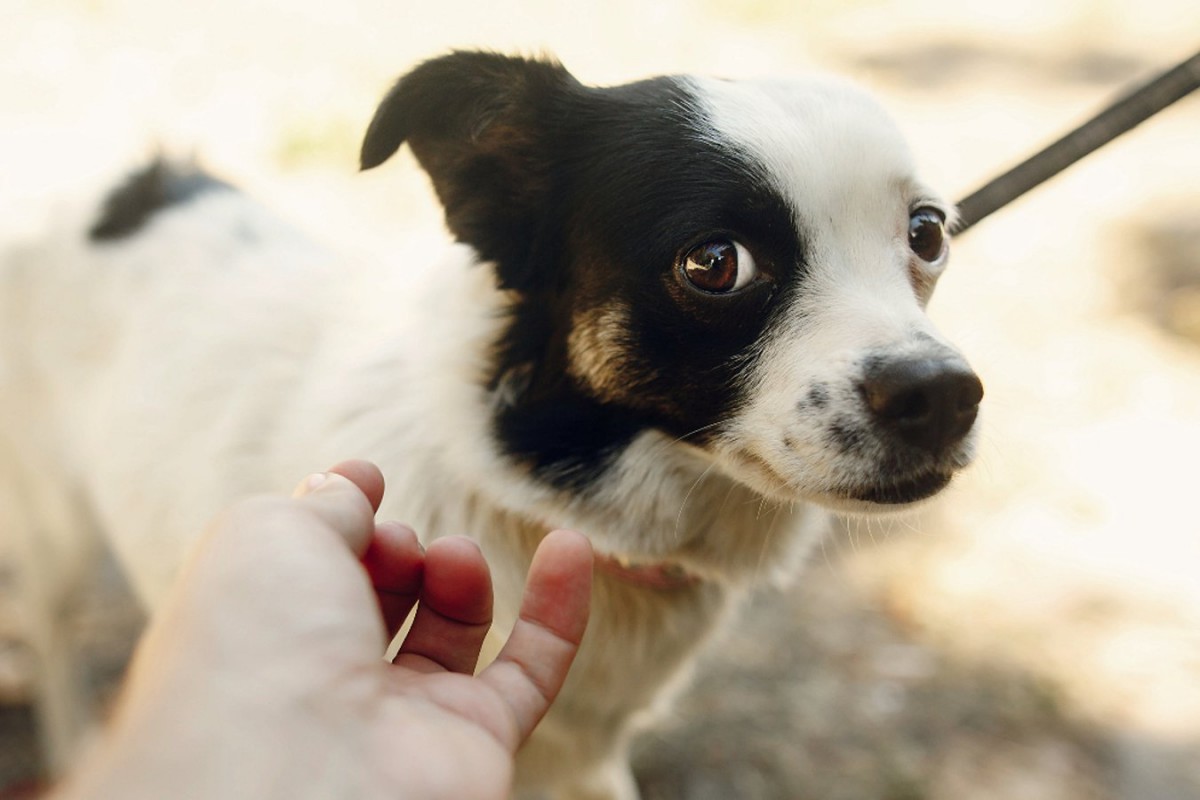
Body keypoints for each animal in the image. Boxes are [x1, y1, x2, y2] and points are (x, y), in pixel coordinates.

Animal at [0, 51, 979, 800]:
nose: (944, 396)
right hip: (52, 523)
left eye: (928, 232)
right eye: (714, 262)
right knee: (51, 629)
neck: (541, 495)